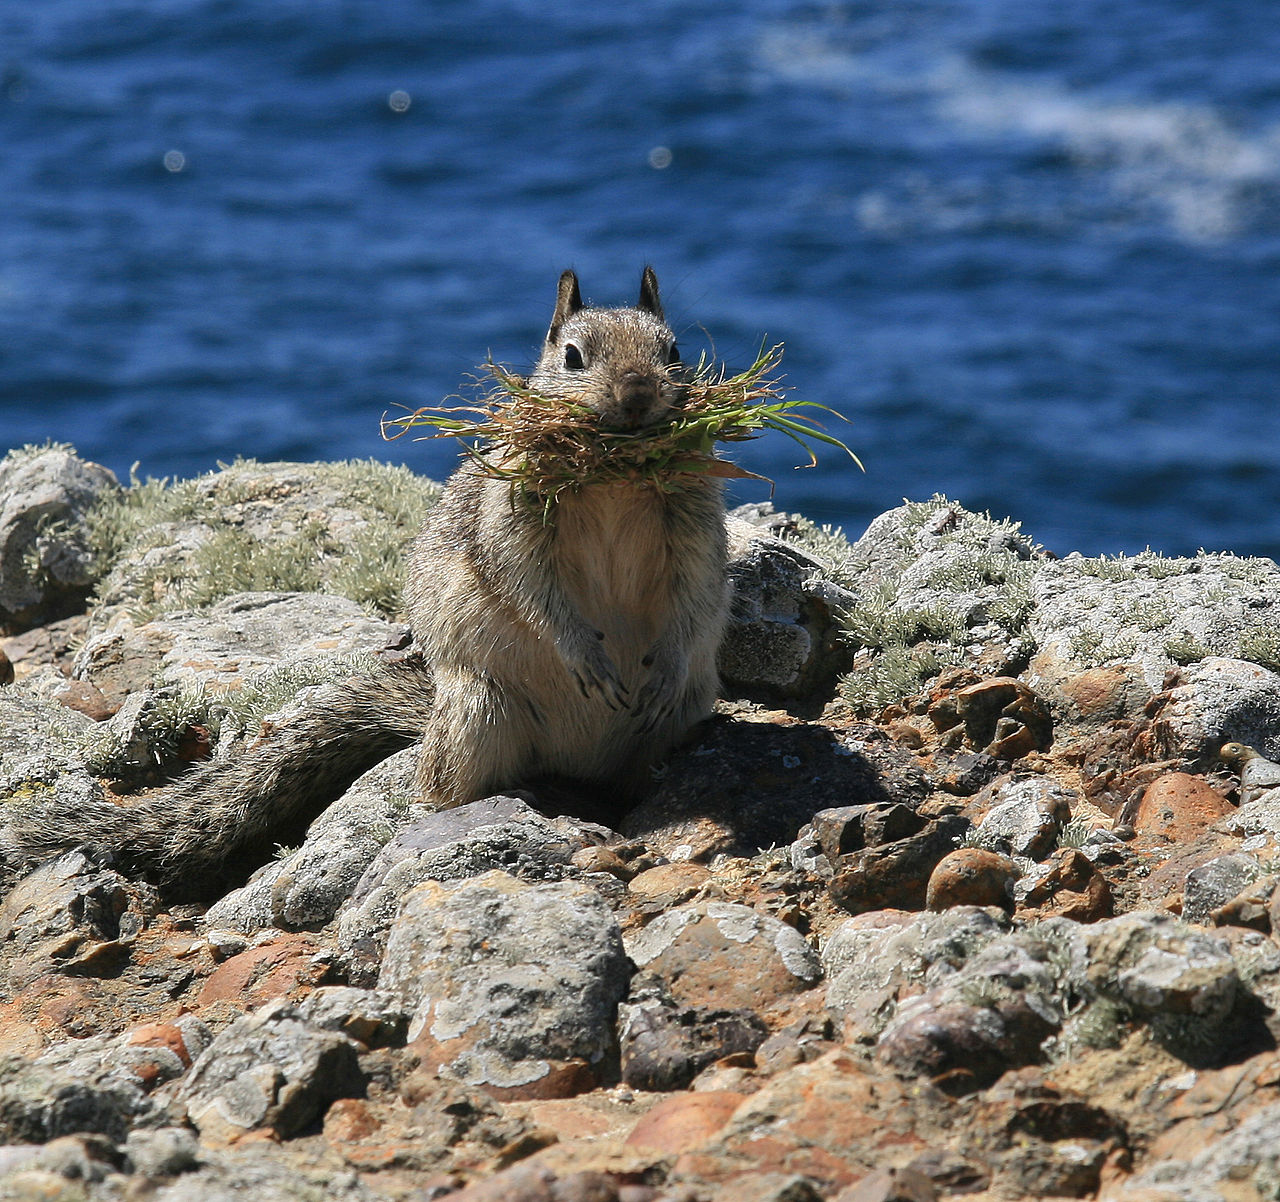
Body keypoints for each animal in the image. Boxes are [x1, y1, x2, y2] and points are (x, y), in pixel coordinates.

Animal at [5, 267, 732, 896]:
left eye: (673, 350)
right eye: (574, 357)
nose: (637, 393)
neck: (616, 476)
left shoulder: (696, 521)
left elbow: (696, 591)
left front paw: (661, 664)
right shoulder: (512, 515)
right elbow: (528, 583)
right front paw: (585, 655)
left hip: (676, 714)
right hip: (480, 712)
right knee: (442, 791)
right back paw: (528, 804)